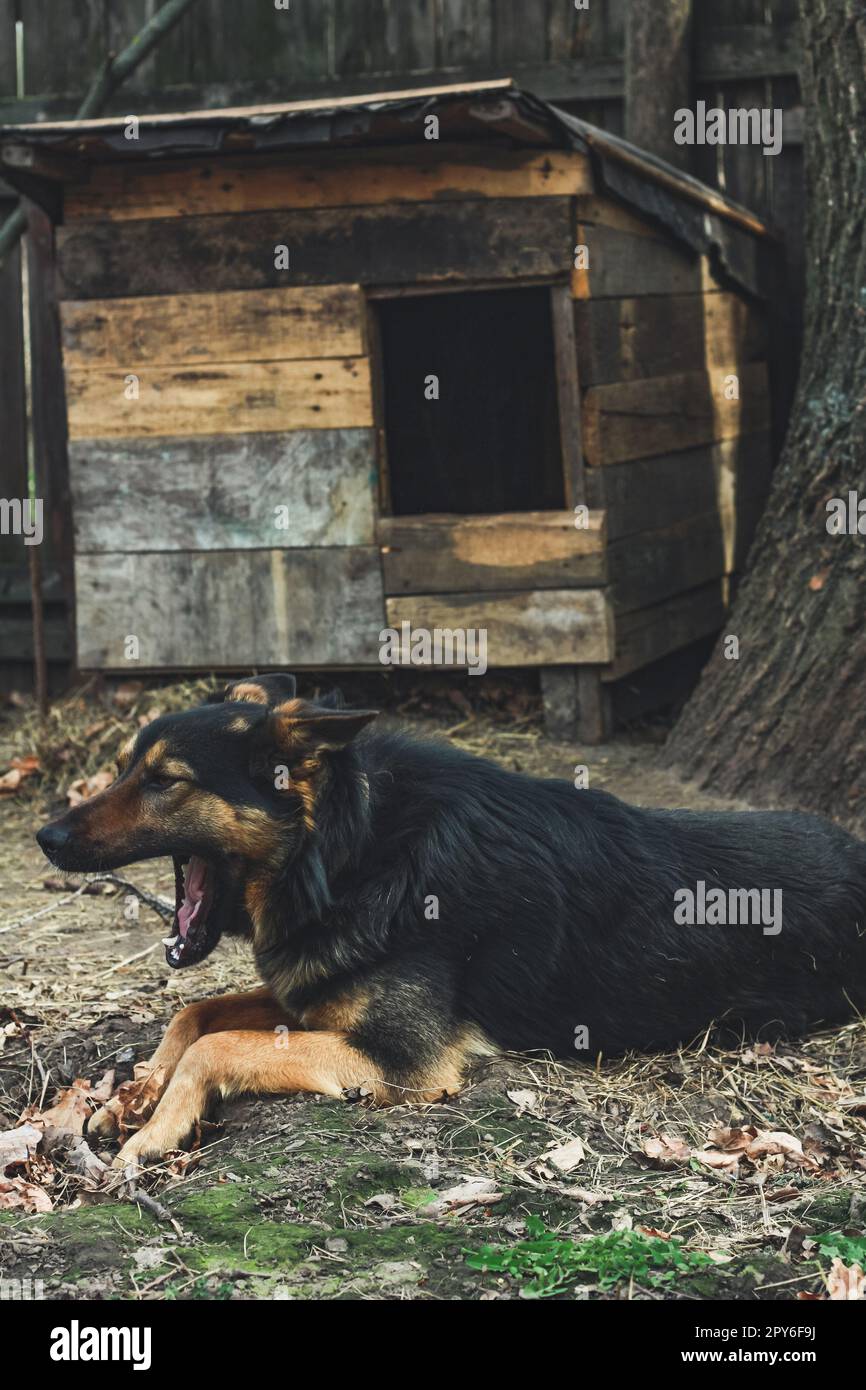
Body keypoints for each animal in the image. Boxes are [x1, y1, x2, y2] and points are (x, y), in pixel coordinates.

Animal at [33, 672, 866, 1162]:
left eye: (164, 781)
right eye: (128, 767)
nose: (45, 837)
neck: (349, 847)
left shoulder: (399, 1058)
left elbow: (217, 1045)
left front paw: (156, 1130)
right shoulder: (313, 993)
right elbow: (198, 1014)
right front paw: (140, 1091)